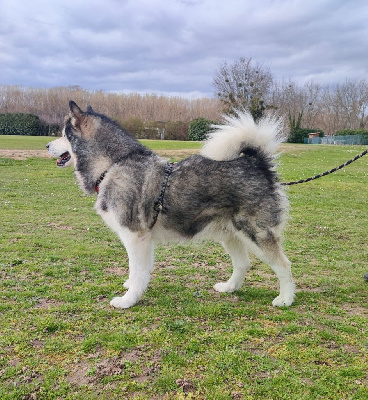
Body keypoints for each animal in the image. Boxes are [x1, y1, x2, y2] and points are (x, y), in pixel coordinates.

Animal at [48, 101, 296, 310]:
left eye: (63, 135)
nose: (48, 144)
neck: (113, 165)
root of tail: (256, 164)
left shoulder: (135, 236)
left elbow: (137, 270)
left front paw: (128, 300)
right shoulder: (142, 239)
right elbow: (140, 271)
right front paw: (132, 288)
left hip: (256, 234)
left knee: (284, 265)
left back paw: (285, 299)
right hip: (230, 234)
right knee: (243, 264)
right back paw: (229, 287)